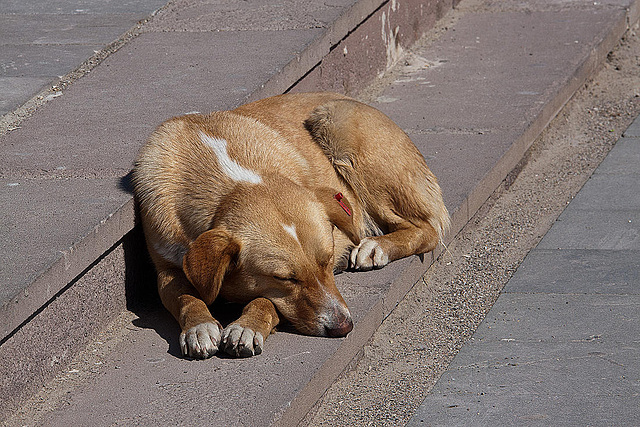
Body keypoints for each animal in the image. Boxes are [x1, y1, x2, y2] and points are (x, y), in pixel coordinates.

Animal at [132, 92, 448, 360]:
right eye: (285, 278)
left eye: (327, 260)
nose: (343, 328)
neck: (229, 181)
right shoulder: (166, 271)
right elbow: (187, 296)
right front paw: (200, 327)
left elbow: (267, 302)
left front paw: (247, 326)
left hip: (340, 129)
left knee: (427, 228)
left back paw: (375, 247)